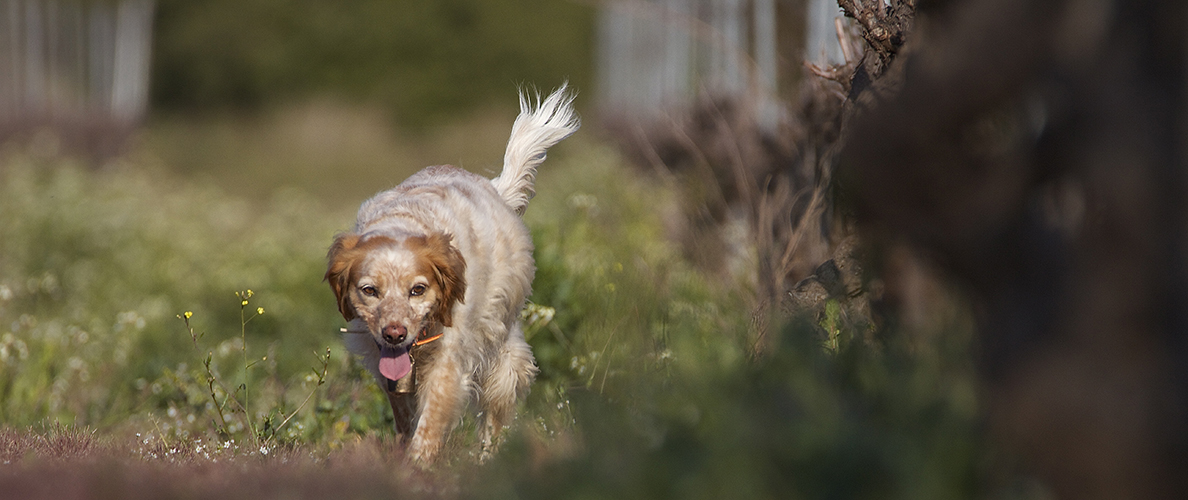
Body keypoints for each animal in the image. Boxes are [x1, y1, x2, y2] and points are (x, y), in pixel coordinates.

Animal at [327, 84, 577, 460]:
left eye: (418, 289)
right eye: (369, 290)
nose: (394, 333)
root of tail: (493, 187)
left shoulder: (449, 358)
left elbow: (430, 422)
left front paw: (417, 465)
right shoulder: (384, 359)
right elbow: (405, 416)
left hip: (499, 345)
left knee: (497, 406)